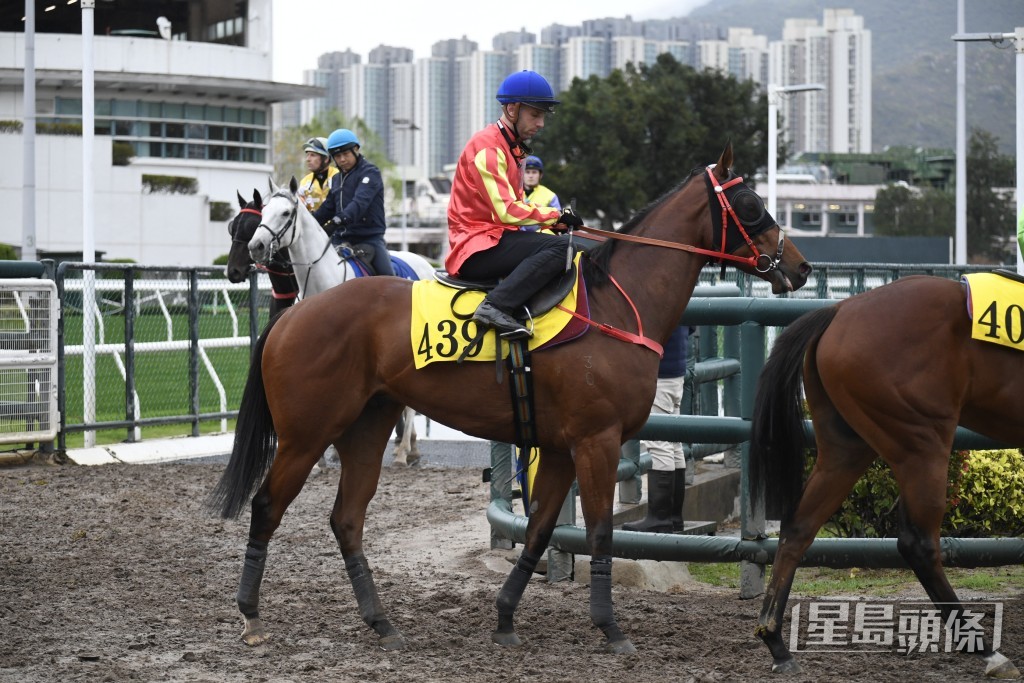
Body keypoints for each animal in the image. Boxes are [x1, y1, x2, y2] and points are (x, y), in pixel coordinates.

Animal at [209, 144, 806, 651]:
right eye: (750, 204)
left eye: (278, 219)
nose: (798, 266)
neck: (615, 304)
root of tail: (294, 316)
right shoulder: (597, 441)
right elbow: (600, 531)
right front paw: (610, 627)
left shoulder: (563, 447)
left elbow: (542, 530)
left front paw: (504, 617)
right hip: (306, 433)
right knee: (268, 506)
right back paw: (252, 615)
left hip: (366, 426)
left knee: (347, 518)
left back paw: (381, 622)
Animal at [745, 274, 1024, 679]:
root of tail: (840, 310)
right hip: (921, 444)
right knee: (918, 544)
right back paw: (985, 650)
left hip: (846, 449)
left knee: (799, 527)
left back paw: (776, 643)